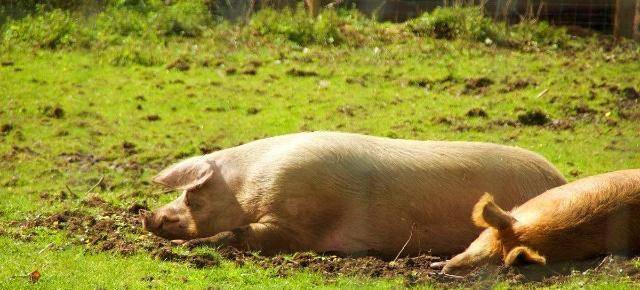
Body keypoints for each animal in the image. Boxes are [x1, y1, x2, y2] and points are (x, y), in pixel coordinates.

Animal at [141, 131, 564, 256]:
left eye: (192, 198)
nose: (148, 217)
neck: (248, 187)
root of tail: (558, 178)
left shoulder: (298, 221)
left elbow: (246, 234)